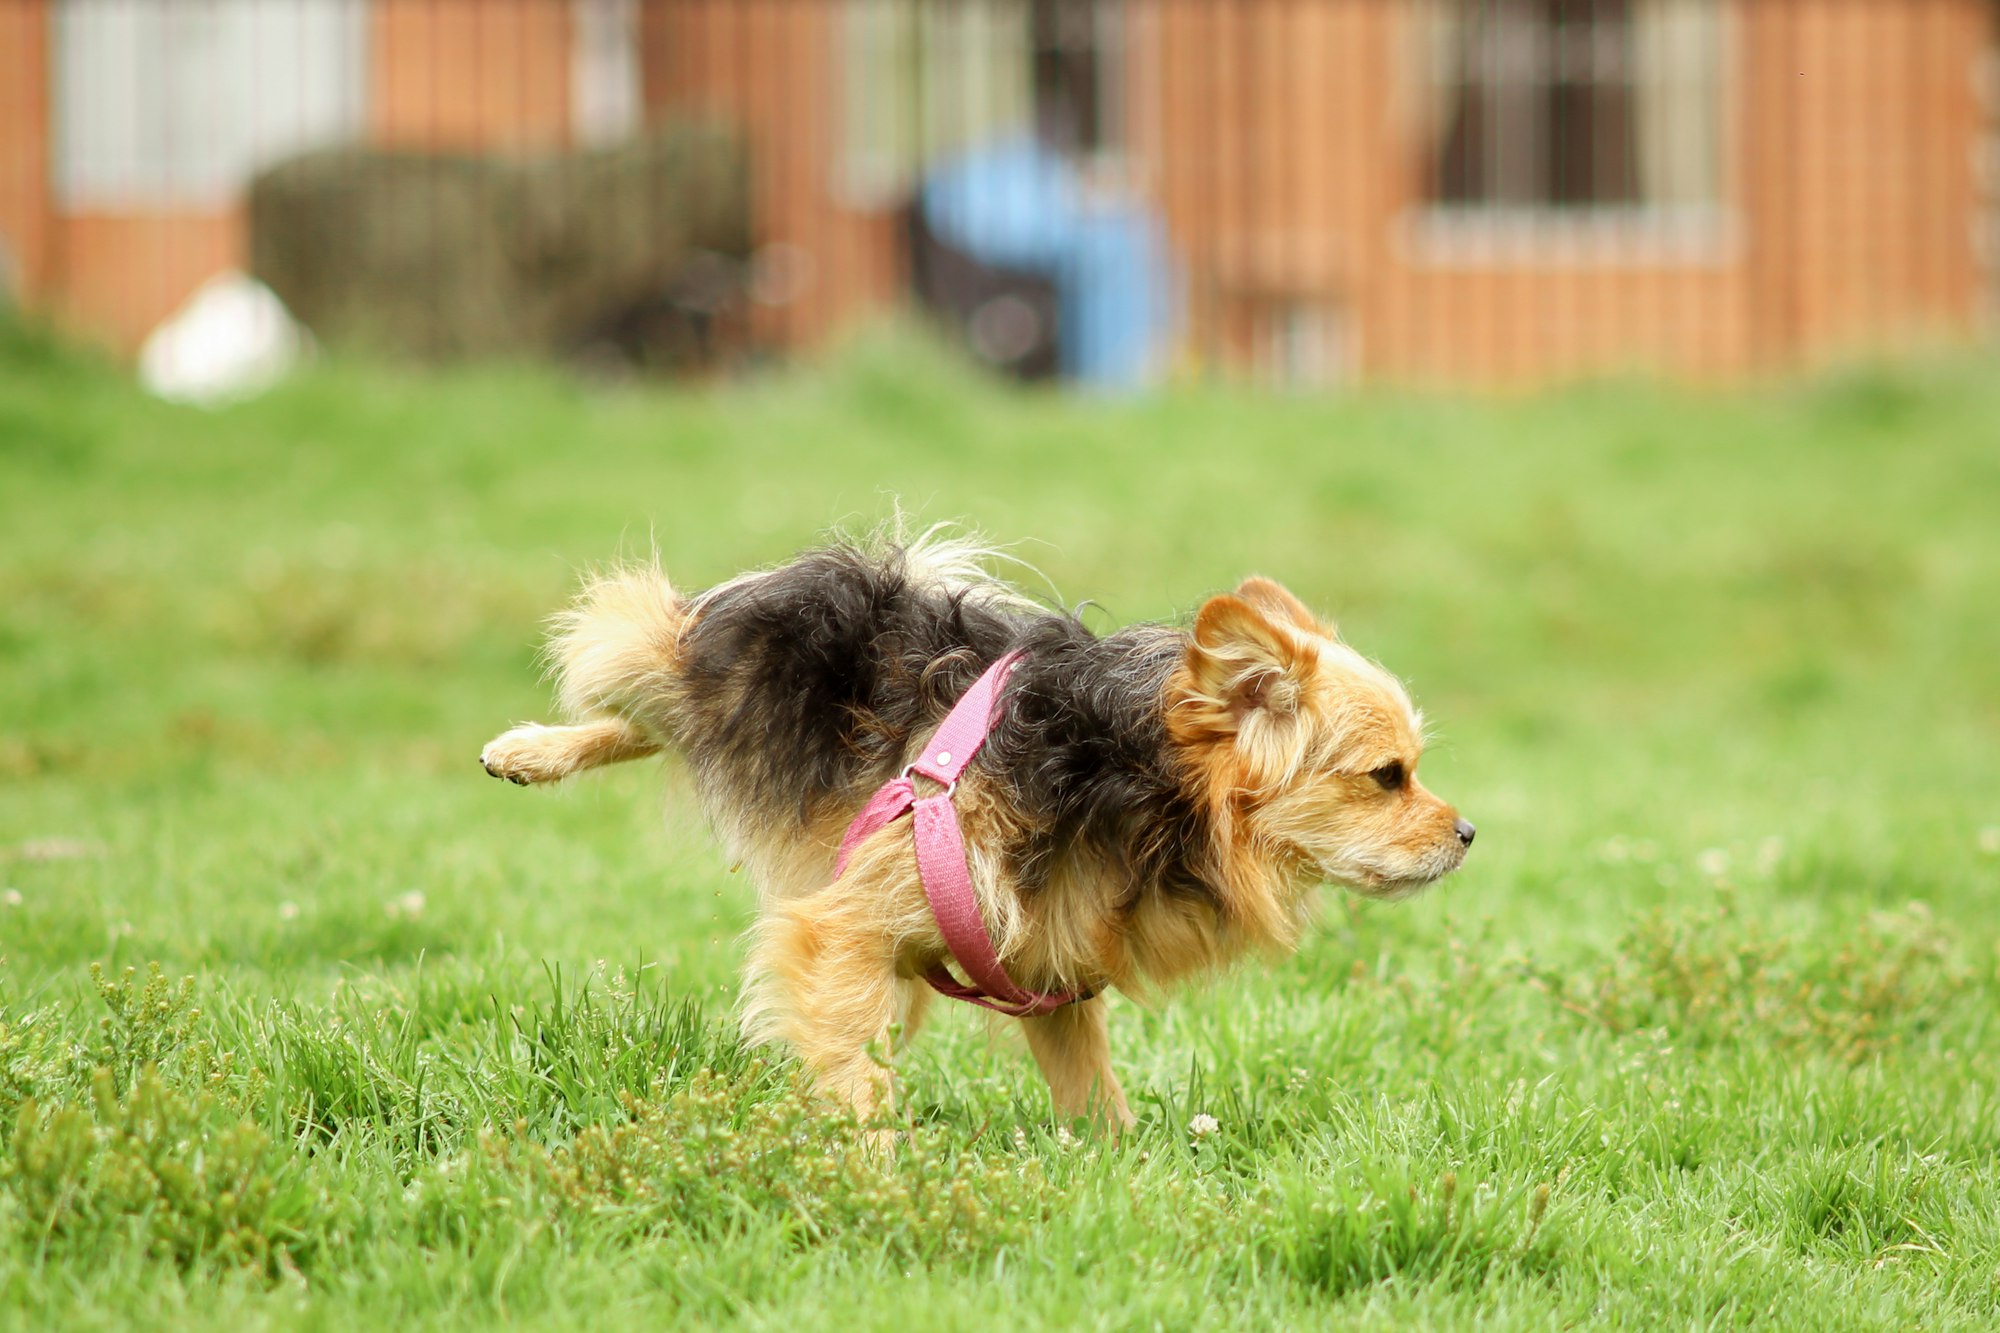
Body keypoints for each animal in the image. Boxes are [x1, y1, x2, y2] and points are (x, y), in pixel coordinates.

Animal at [480, 524, 1472, 1128]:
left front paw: (1123, 1172)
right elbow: (856, 1079)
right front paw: (870, 1179)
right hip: (688, 664)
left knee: (654, 722)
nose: (1468, 833)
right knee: (632, 654)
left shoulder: (1048, 969)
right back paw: (533, 745)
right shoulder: (844, 927)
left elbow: (1092, 1093)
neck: (1136, 783)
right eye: (1388, 777)